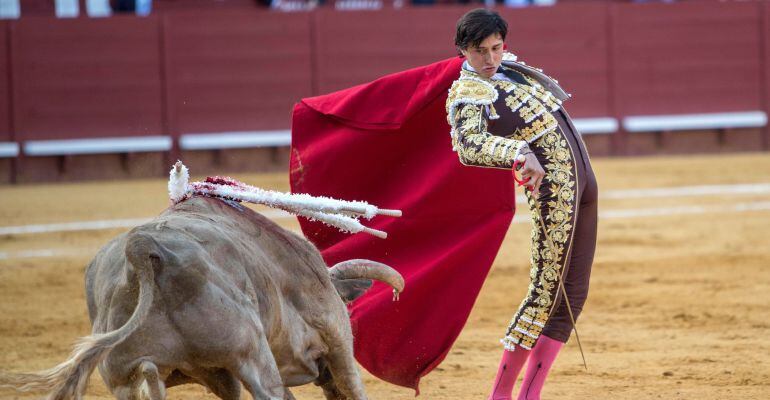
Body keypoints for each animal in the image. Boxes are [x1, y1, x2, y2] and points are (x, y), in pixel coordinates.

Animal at [0, 196, 404, 400]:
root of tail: (142, 249)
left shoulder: (215, 373)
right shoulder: (335, 333)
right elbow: (352, 385)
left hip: (121, 374)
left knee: (144, 381)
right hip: (252, 351)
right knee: (271, 393)